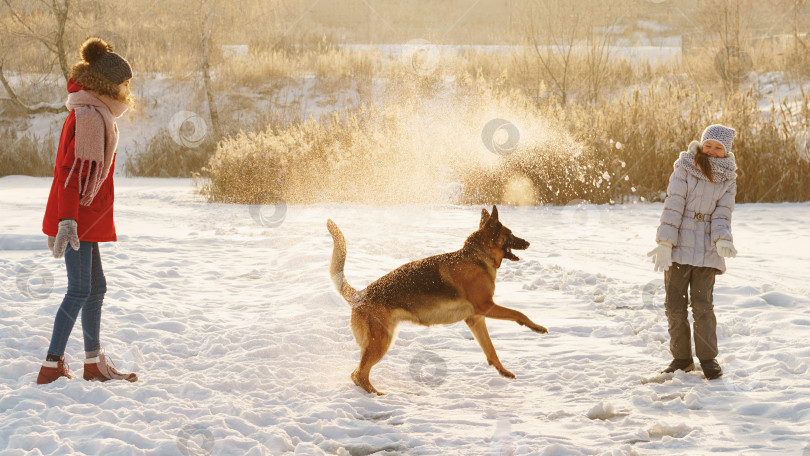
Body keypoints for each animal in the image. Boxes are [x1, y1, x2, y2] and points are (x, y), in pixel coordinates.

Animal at [326, 205, 548, 394]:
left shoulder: (475, 319)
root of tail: (360, 294)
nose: (528, 243)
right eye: (510, 234)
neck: (477, 255)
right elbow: (519, 313)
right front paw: (537, 327)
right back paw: (377, 395)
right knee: (358, 375)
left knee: (358, 374)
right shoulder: (487, 306)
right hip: (381, 342)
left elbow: (491, 349)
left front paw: (502, 370)